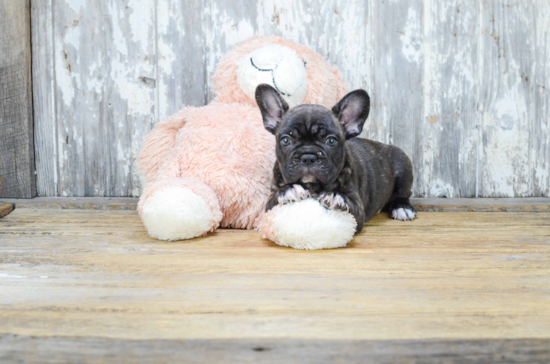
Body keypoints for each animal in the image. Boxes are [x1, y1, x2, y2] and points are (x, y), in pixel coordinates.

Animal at [258, 83, 418, 233]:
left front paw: (335, 196)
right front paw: (288, 190)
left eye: (331, 141)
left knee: (403, 193)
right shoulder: (269, 205)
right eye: (286, 140)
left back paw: (402, 208)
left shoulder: (357, 207)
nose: (308, 156)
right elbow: (274, 199)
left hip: (402, 162)